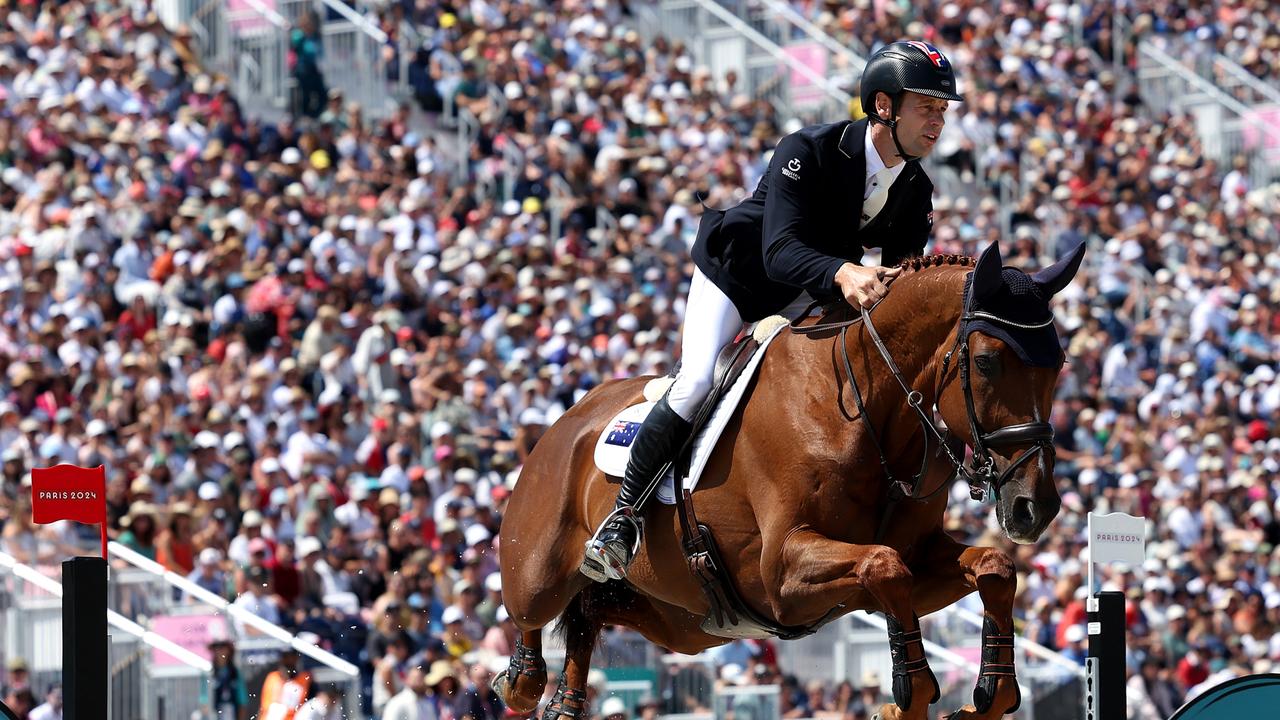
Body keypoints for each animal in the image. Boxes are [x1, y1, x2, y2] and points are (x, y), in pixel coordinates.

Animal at [494, 242, 1085, 717]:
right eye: (985, 362)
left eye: (1059, 364)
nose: (1035, 507)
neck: (865, 406)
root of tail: (568, 419)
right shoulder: (781, 574)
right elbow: (885, 567)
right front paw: (906, 698)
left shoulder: (917, 558)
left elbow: (991, 568)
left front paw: (988, 695)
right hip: (540, 572)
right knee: (534, 618)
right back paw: (523, 680)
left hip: (680, 623)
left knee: (591, 613)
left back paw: (565, 705)